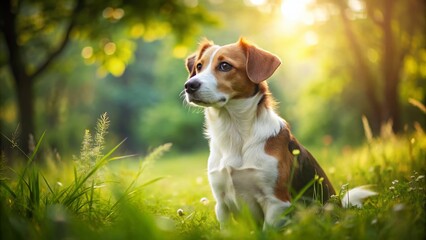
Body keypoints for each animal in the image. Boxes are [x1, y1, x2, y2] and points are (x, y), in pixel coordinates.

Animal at [183, 37, 376, 229]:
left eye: (225, 66)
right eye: (199, 66)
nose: (189, 86)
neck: (234, 131)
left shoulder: (276, 201)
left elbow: (268, 230)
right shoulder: (222, 203)